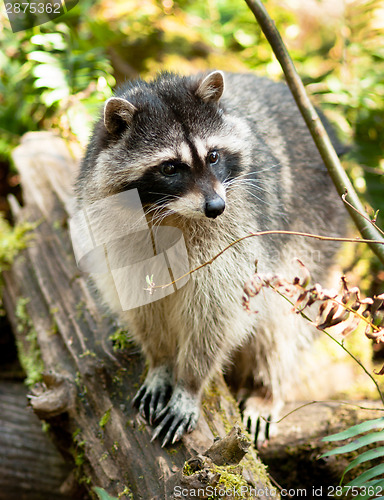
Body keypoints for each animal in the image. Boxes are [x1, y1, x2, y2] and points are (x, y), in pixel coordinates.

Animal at [76, 69, 346, 446]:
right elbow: (143, 304)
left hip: (313, 227)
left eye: (214, 156)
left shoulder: (236, 233)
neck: (170, 213)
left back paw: (266, 389)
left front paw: (190, 383)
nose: (216, 207)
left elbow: (216, 313)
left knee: (281, 322)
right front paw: (160, 361)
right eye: (170, 167)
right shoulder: (115, 235)